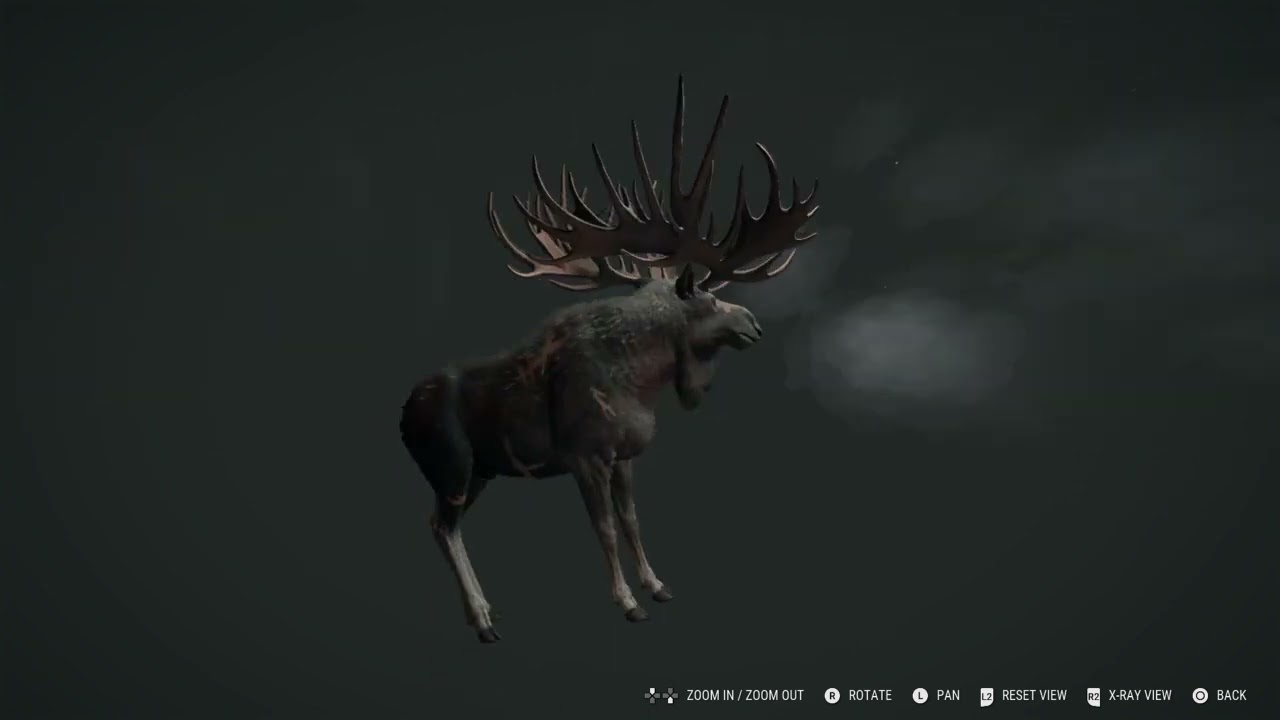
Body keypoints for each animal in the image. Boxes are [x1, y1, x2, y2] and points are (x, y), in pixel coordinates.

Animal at [399, 77, 820, 643]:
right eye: (707, 298)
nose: (753, 323)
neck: (643, 381)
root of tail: (400, 414)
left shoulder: (623, 456)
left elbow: (632, 520)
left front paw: (657, 585)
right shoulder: (585, 456)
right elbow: (603, 528)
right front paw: (627, 602)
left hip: (482, 469)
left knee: (447, 525)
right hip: (454, 466)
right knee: (440, 524)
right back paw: (482, 619)